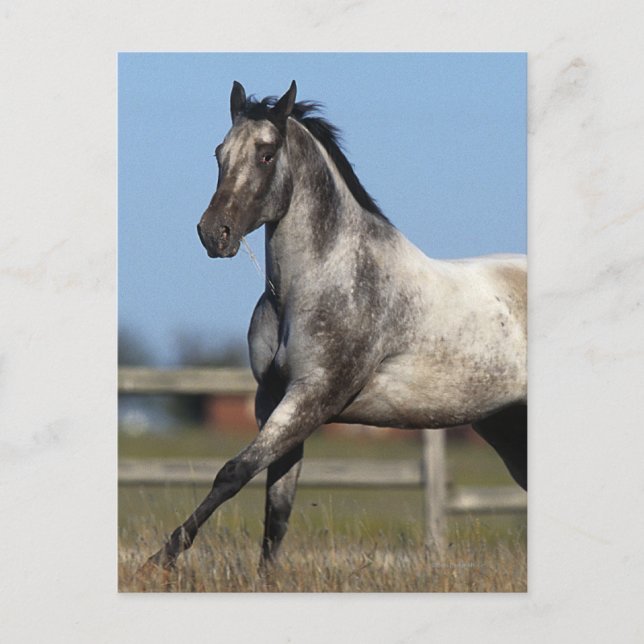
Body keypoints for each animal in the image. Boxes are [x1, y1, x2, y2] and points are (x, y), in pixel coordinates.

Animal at [145, 80, 527, 571]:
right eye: (219, 153)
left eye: (266, 154)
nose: (214, 234)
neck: (316, 284)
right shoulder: (273, 401)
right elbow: (277, 509)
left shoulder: (313, 397)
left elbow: (233, 472)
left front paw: (160, 560)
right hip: (505, 427)